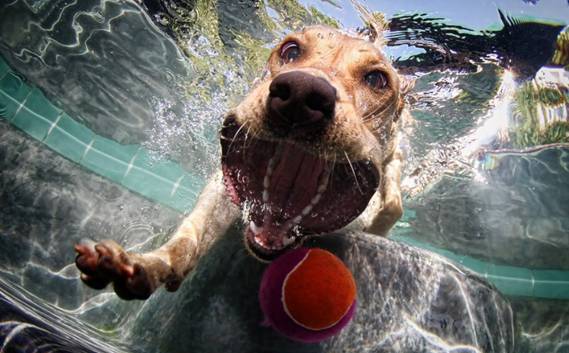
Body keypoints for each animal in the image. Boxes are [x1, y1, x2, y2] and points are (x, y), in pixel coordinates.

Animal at [75, 25, 412, 300]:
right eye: (291, 50)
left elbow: (390, 206)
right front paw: (147, 265)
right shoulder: (221, 190)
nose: (301, 94)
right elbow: (188, 237)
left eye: (377, 79)